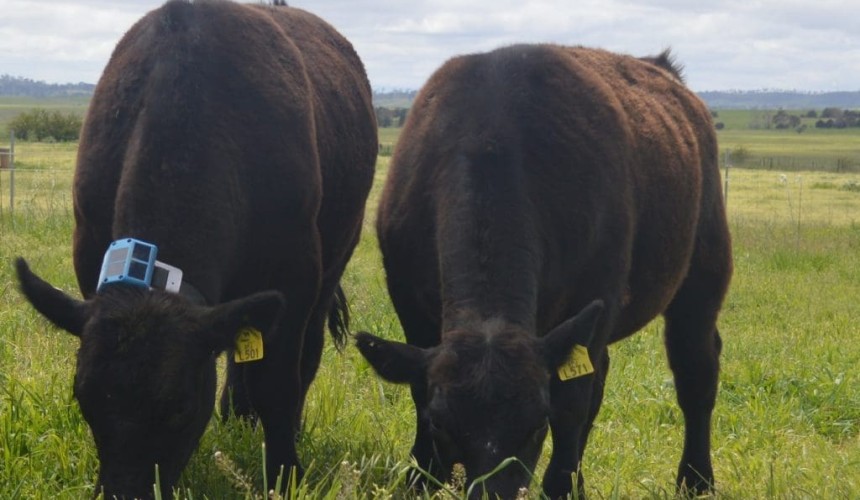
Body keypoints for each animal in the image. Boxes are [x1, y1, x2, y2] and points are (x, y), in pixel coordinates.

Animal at [15, 0, 376, 497]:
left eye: (180, 408)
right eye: (84, 399)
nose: (124, 492)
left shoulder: (296, 271)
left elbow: (277, 382)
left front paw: (285, 473)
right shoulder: (89, 258)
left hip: (335, 259)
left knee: (305, 354)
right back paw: (239, 419)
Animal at [355, 45, 732, 499]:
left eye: (536, 424)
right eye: (441, 423)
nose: (493, 492)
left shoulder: (597, 294)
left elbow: (571, 402)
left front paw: (560, 487)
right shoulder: (409, 300)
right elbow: (416, 388)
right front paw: (421, 477)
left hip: (703, 273)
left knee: (696, 370)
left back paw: (696, 478)